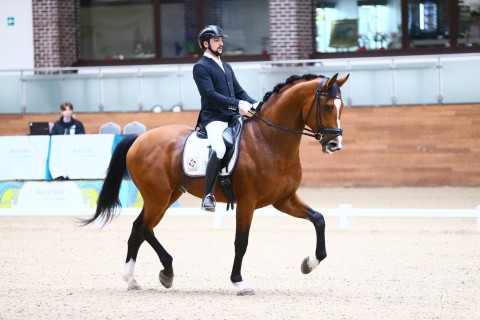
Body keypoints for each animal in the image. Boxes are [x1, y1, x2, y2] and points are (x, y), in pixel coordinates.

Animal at [81, 72, 348, 296]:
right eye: (327, 106)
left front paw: (309, 264)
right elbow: (241, 242)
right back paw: (167, 271)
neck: (268, 141)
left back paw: (132, 279)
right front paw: (239, 282)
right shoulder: (247, 202)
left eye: (341, 107)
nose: (335, 145)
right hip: (158, 196)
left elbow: (319, 219)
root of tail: (139, 138)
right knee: (145, 228)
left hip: (169, 196)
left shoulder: (284, 199)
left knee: (139, 228)